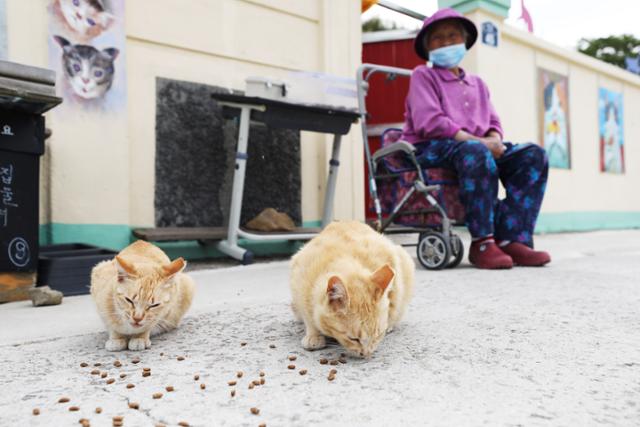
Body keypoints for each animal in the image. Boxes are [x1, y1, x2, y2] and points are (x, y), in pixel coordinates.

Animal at [290, 222, 416, 360]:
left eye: (377, 336)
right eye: (353, 339)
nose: (366, 354)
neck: (343, 256)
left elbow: (393, 304)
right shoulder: (299, 283)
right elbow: (308, 315)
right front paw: (314, 335)